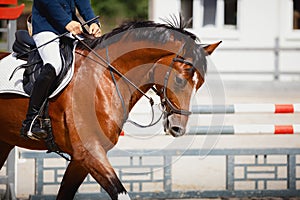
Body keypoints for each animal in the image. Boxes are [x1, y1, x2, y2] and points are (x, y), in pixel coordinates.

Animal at [0, 19, 220, 200]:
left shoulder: (80, 159)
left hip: (4, 143)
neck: (104, 75)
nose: (178, 128)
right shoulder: (89, 152)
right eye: (179, 80)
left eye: (200, 84)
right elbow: (121, 194)